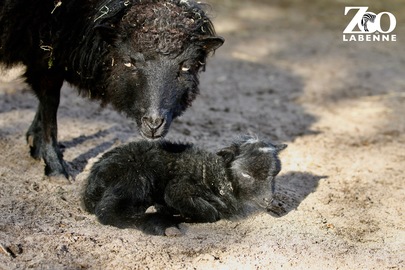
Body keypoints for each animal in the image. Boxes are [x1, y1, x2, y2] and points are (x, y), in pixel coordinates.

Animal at [0, 0, 224, 179]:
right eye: (129, 62)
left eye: (186, 66)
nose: (154, 123)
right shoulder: (45, 51)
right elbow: (50, 103)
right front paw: (55, 165)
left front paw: (35, 143)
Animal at [82, 136, 286, 235]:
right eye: (246, 174)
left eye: (274, 173)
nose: (267, 199)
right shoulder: (177, 189)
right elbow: (211, 213)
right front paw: (177, 215)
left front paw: (278, 206)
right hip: (134, 178)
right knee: (107, 212)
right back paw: (160, 224)